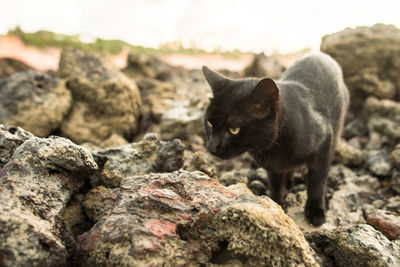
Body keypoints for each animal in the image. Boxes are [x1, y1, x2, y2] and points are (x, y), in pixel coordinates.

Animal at [202, 53, 348, 227]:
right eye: (210, 123)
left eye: (234, 129)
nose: (212, 146)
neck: (274, 147)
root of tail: (319, 54)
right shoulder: (272, 167)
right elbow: (276, 185)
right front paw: (276, 205)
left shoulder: (324, 142)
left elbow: (317, 181)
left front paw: (315, 211)